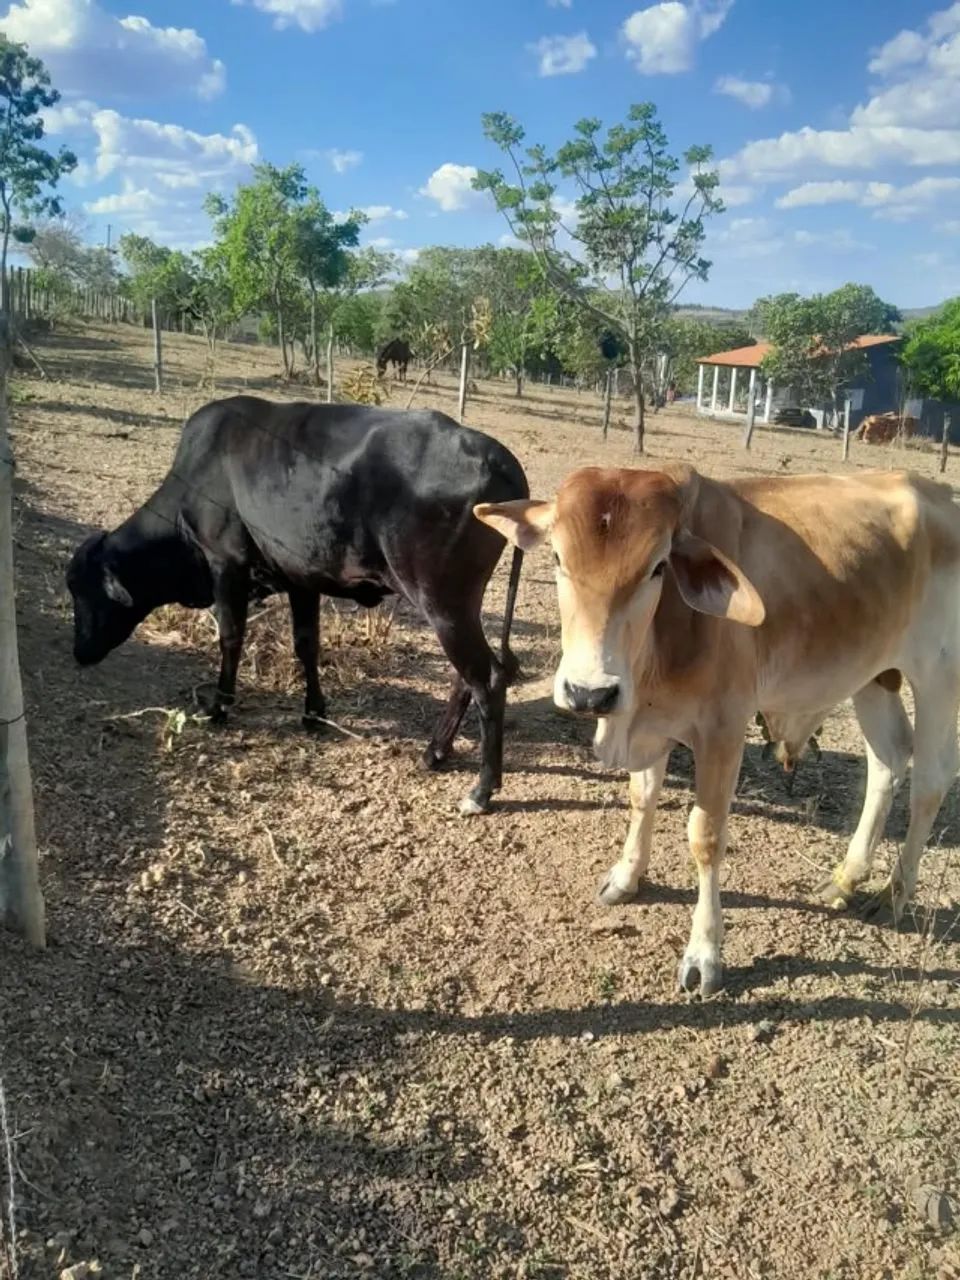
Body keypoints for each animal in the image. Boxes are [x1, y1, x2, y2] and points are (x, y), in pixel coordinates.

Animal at [66, 396, 528, 816]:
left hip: (441, 603)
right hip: (455, 607)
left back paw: (481, 790)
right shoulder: (300, 579)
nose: (79, 652)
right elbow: (306, 645)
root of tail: (497, 456)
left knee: (486, 677)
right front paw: (313, 713)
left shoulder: (226, 565)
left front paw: (218, 706)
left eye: (82, 590)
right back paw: (435, 752)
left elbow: (231, 637)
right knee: (467, 677)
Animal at [476, 465, 960, 996]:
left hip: (938, 677)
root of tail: (940, 494)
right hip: (872, 675)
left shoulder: (724, 732)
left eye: (658, 567)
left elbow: (705, 837)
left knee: (930, 782)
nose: (589, 693)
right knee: (887, 759)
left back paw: (894, 893)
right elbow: (642, 798)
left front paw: (703, 954)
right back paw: (847, 878)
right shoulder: (653, 724)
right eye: (558, 557)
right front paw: (626, 877)